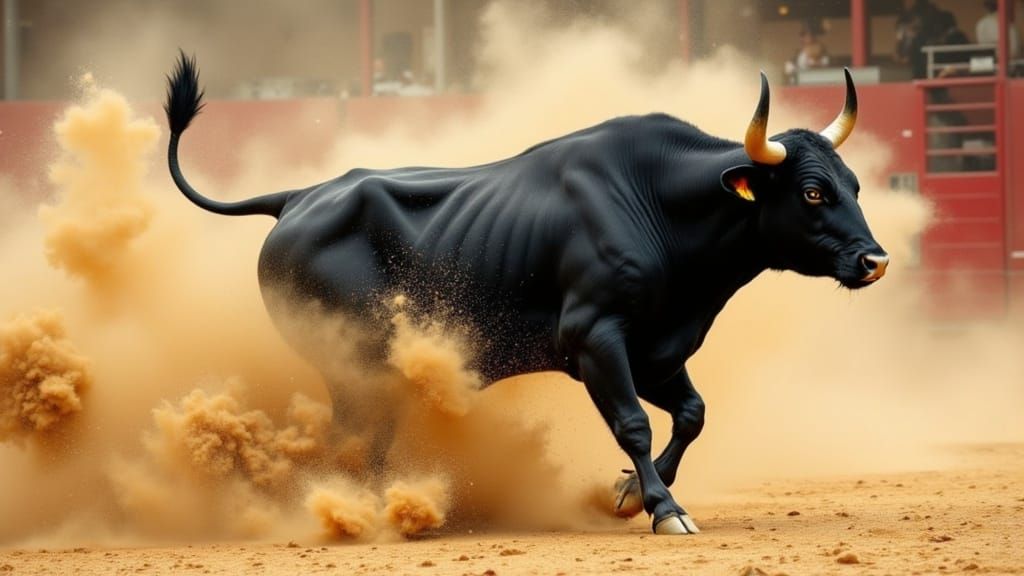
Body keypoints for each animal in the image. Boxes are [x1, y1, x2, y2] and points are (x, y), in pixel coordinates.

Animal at [164, 53, 888, 535]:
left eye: (854, 184)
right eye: (812, 192)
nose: (875, 260)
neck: (659, 205)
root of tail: (299, 197)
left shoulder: (657, 349)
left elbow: (692, 413)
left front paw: (629, 494)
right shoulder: (596, 339)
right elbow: (633, 422)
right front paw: (663, 509)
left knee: (364, 434)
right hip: (351, 360)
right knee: (353, 430)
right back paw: (355, 508)